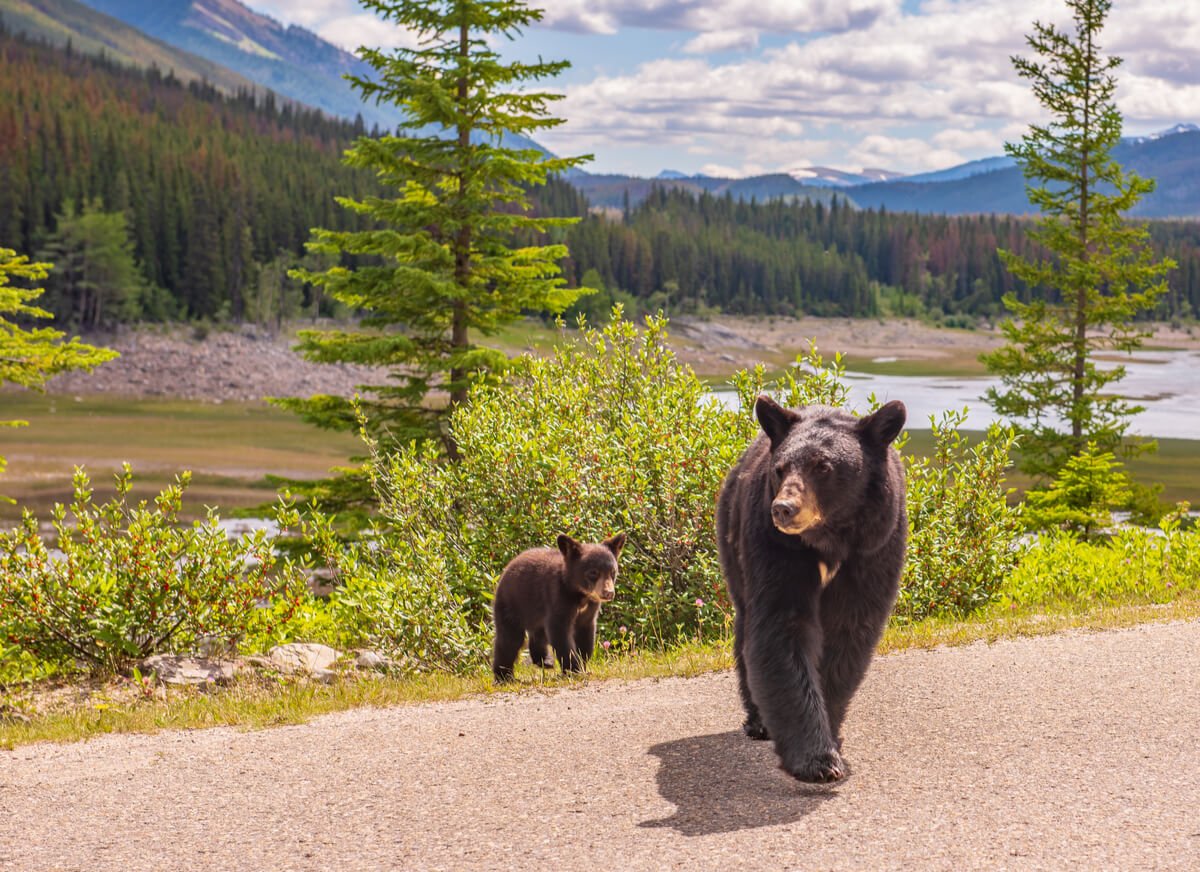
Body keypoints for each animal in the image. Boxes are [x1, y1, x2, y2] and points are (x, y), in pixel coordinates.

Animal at [489, 532, 628, 681]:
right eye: (593, 572)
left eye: (613, 572)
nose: (609, 593)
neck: (580, 594)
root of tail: (506, 569)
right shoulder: (558, 598)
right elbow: (560, 632)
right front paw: (574, 670)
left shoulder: (589, 609)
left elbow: (585, 634)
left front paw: (583, 664)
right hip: (511, 604)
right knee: (509, 639)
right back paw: (504, 676)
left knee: (537, 633)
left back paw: (546, 661)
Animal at [715, 395, 902, 786]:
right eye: (780, 468)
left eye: (823, 466)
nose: (783, 509)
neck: (829, 537)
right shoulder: (775, 547)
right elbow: (782, 629)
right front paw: (816, 759)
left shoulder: (874, 547)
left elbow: (847, 633)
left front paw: (830, 735)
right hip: (732, 533)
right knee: (745, 624)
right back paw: (758, 721)